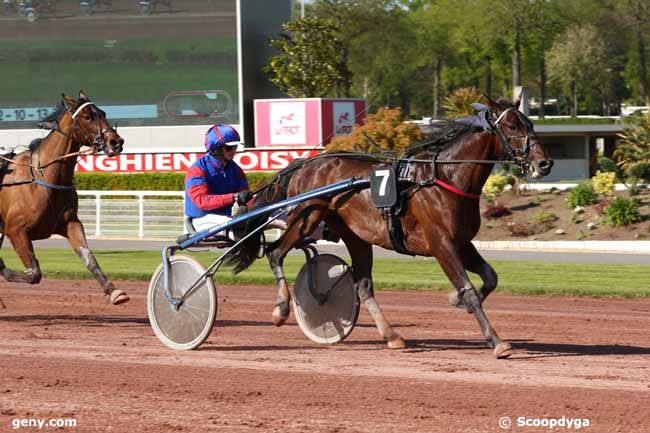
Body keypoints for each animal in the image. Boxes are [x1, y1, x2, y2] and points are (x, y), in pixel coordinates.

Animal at [0, 91, 128, 308]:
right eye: (88, 117)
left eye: (103, 113)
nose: (116, 142)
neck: (42, 177)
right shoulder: (15, 230)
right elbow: (34, 274)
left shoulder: (70, 223)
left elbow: (89, 257)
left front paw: (114, 291)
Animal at [228, 98, 552, 358]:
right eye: (512, 126)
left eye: (530, 123)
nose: (544, 163)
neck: (446, 177)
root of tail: (305, 164)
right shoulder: (441, 244)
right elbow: (470, 289)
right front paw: (496, 341)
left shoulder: (462, 243)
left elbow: (490, 278)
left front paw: (455, 301)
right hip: (306, 216)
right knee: (274, 252)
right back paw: (281, 309)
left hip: (354, 235)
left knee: (362, 284)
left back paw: (392, 335)